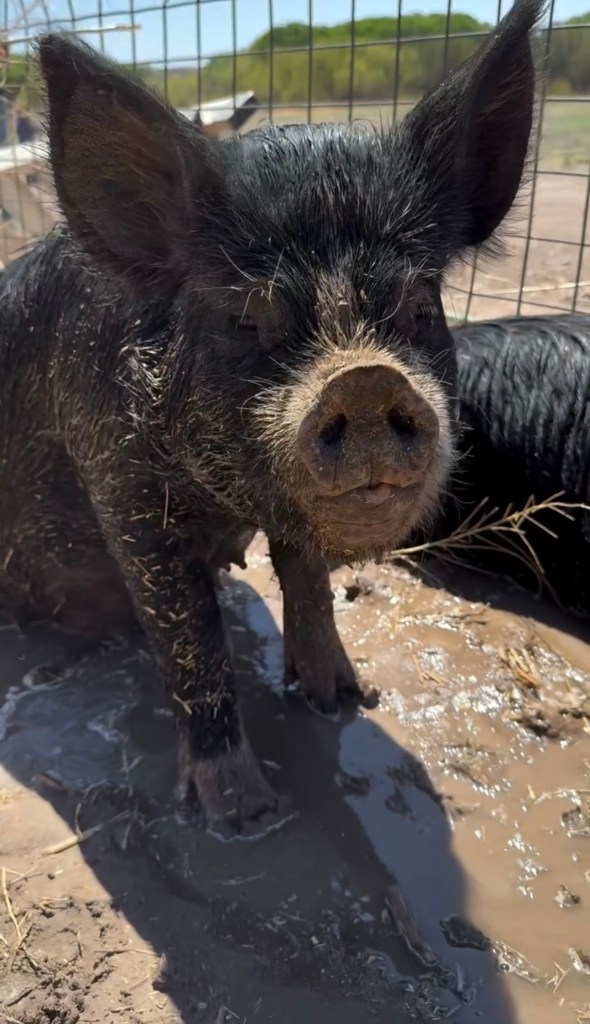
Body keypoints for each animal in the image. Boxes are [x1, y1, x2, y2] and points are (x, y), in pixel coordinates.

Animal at [0, 0, 545, 836]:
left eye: (420, 304)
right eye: (247, 318)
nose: (363, 378)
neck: (224, 500)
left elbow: (308, 572)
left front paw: (343, 700)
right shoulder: (119, 485)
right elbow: (187, 630)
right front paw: (244, 816)